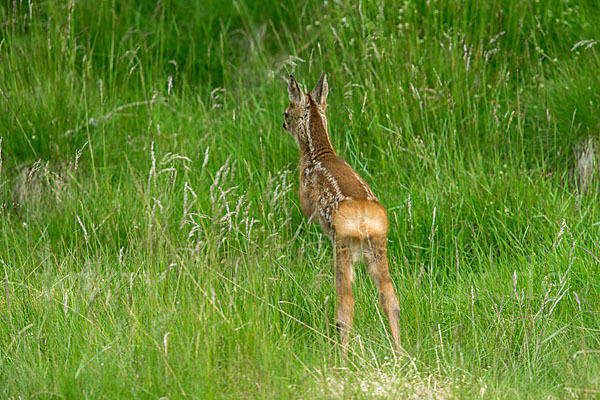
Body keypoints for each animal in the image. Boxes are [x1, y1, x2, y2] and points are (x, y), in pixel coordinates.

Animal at [284, 73, 400, 354]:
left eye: (286, 112)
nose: (283, 124)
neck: (318, 155)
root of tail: (364, 218)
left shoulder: (306, 200)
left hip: (343, 243)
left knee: (346, 300)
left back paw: (342, 355)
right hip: (378, 245)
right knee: (390, 296)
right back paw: (401, 353)